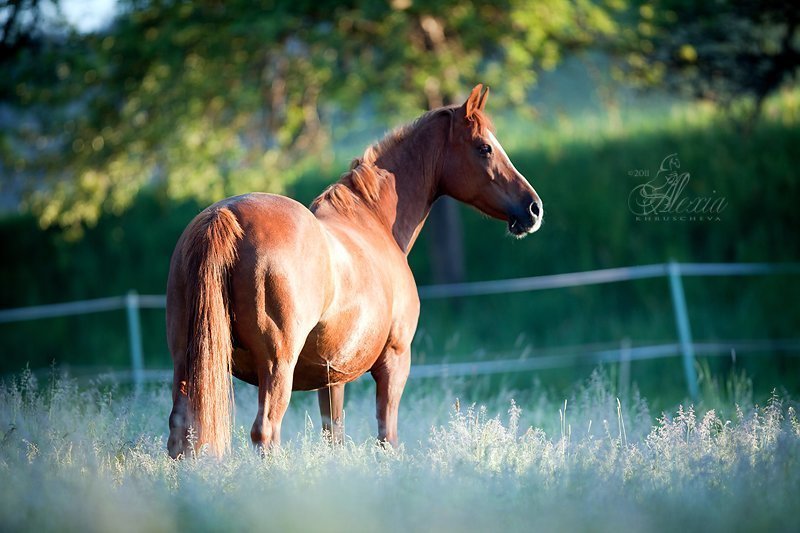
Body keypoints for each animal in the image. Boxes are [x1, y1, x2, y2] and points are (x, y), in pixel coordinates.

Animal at [167, 84, 544, 458]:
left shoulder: (330, 377)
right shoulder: (394, 361)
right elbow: (387, 436)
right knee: (265, 431)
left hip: (187, 362)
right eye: (484, 148)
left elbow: (333, 436)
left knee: (179, 432)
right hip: (276, 368)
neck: (372, 220)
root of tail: (225, 215)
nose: (533, 208)